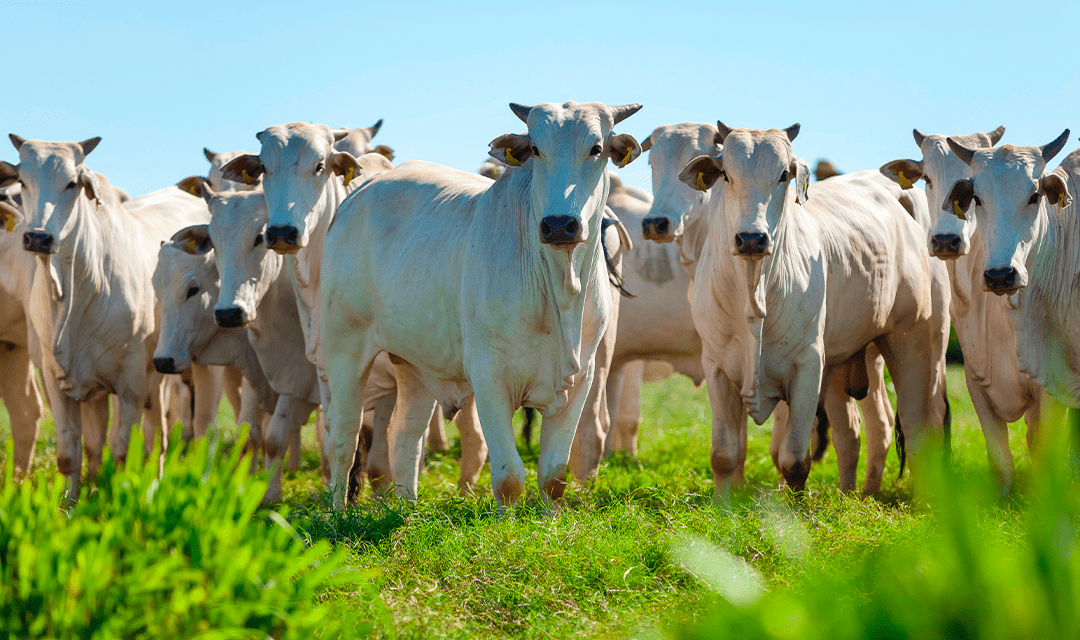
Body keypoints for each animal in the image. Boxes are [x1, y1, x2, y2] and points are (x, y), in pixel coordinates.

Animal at [0, 134, 209, 496]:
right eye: (23, 181)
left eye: (72, 183)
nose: (38, 237)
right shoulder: (56, 377)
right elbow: (71, 453)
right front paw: (70, 502)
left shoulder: (131, 380)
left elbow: (124, 450)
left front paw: (118, 496)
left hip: (170, 372)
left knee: (162, 435)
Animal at [317, 100, 639, 509]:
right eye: (536, 149)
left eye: (597, 148)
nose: (559, 225)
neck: (559, 288)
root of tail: (359, 194)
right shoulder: (489, 377)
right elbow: (509, 477)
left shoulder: (581, 379)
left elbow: (553, 477)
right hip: (344, 350)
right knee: (343, 436)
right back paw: (337, 511)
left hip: (413, 363)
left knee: (405, 437)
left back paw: (407, 510)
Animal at [682, 124, 937, 494]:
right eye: (726, 174)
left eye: (783, 174)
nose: (751, 239)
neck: (754, 293)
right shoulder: (716, 367)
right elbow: (724, 455)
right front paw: (722, 503)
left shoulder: (808, 366)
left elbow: (794, 460)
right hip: (847, 361)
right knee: (855, 432)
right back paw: (855, 495)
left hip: (910, 341)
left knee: (915, 430)